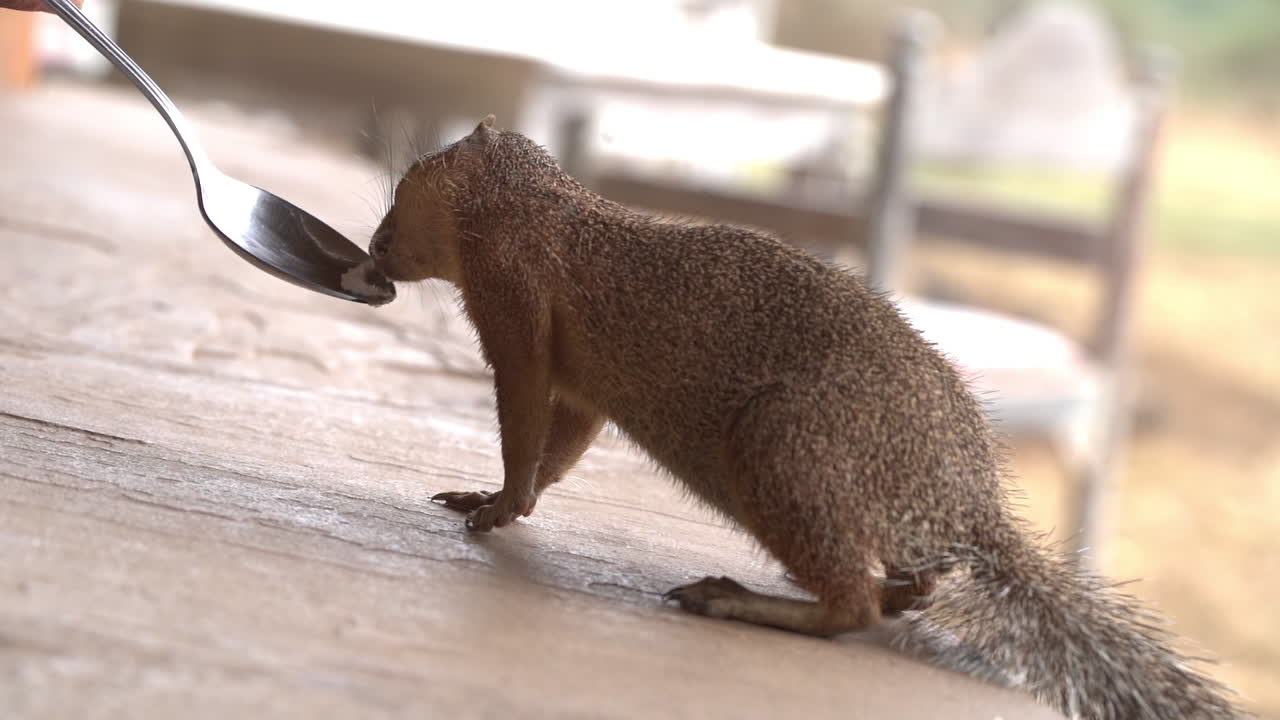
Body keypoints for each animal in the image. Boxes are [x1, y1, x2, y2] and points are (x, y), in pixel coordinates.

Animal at [361, 115, 1244, 720]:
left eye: (406, 185)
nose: (373, 248)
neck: (545, 210)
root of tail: (964, 511)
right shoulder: (581, 387)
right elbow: (561, 446)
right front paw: (503, 501)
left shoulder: (515, 302)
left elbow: (521, 419)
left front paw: (497, 503)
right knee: (903, 588)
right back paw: (879, 591)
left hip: (785, 449)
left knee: (851, 608)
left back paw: (736, 599)